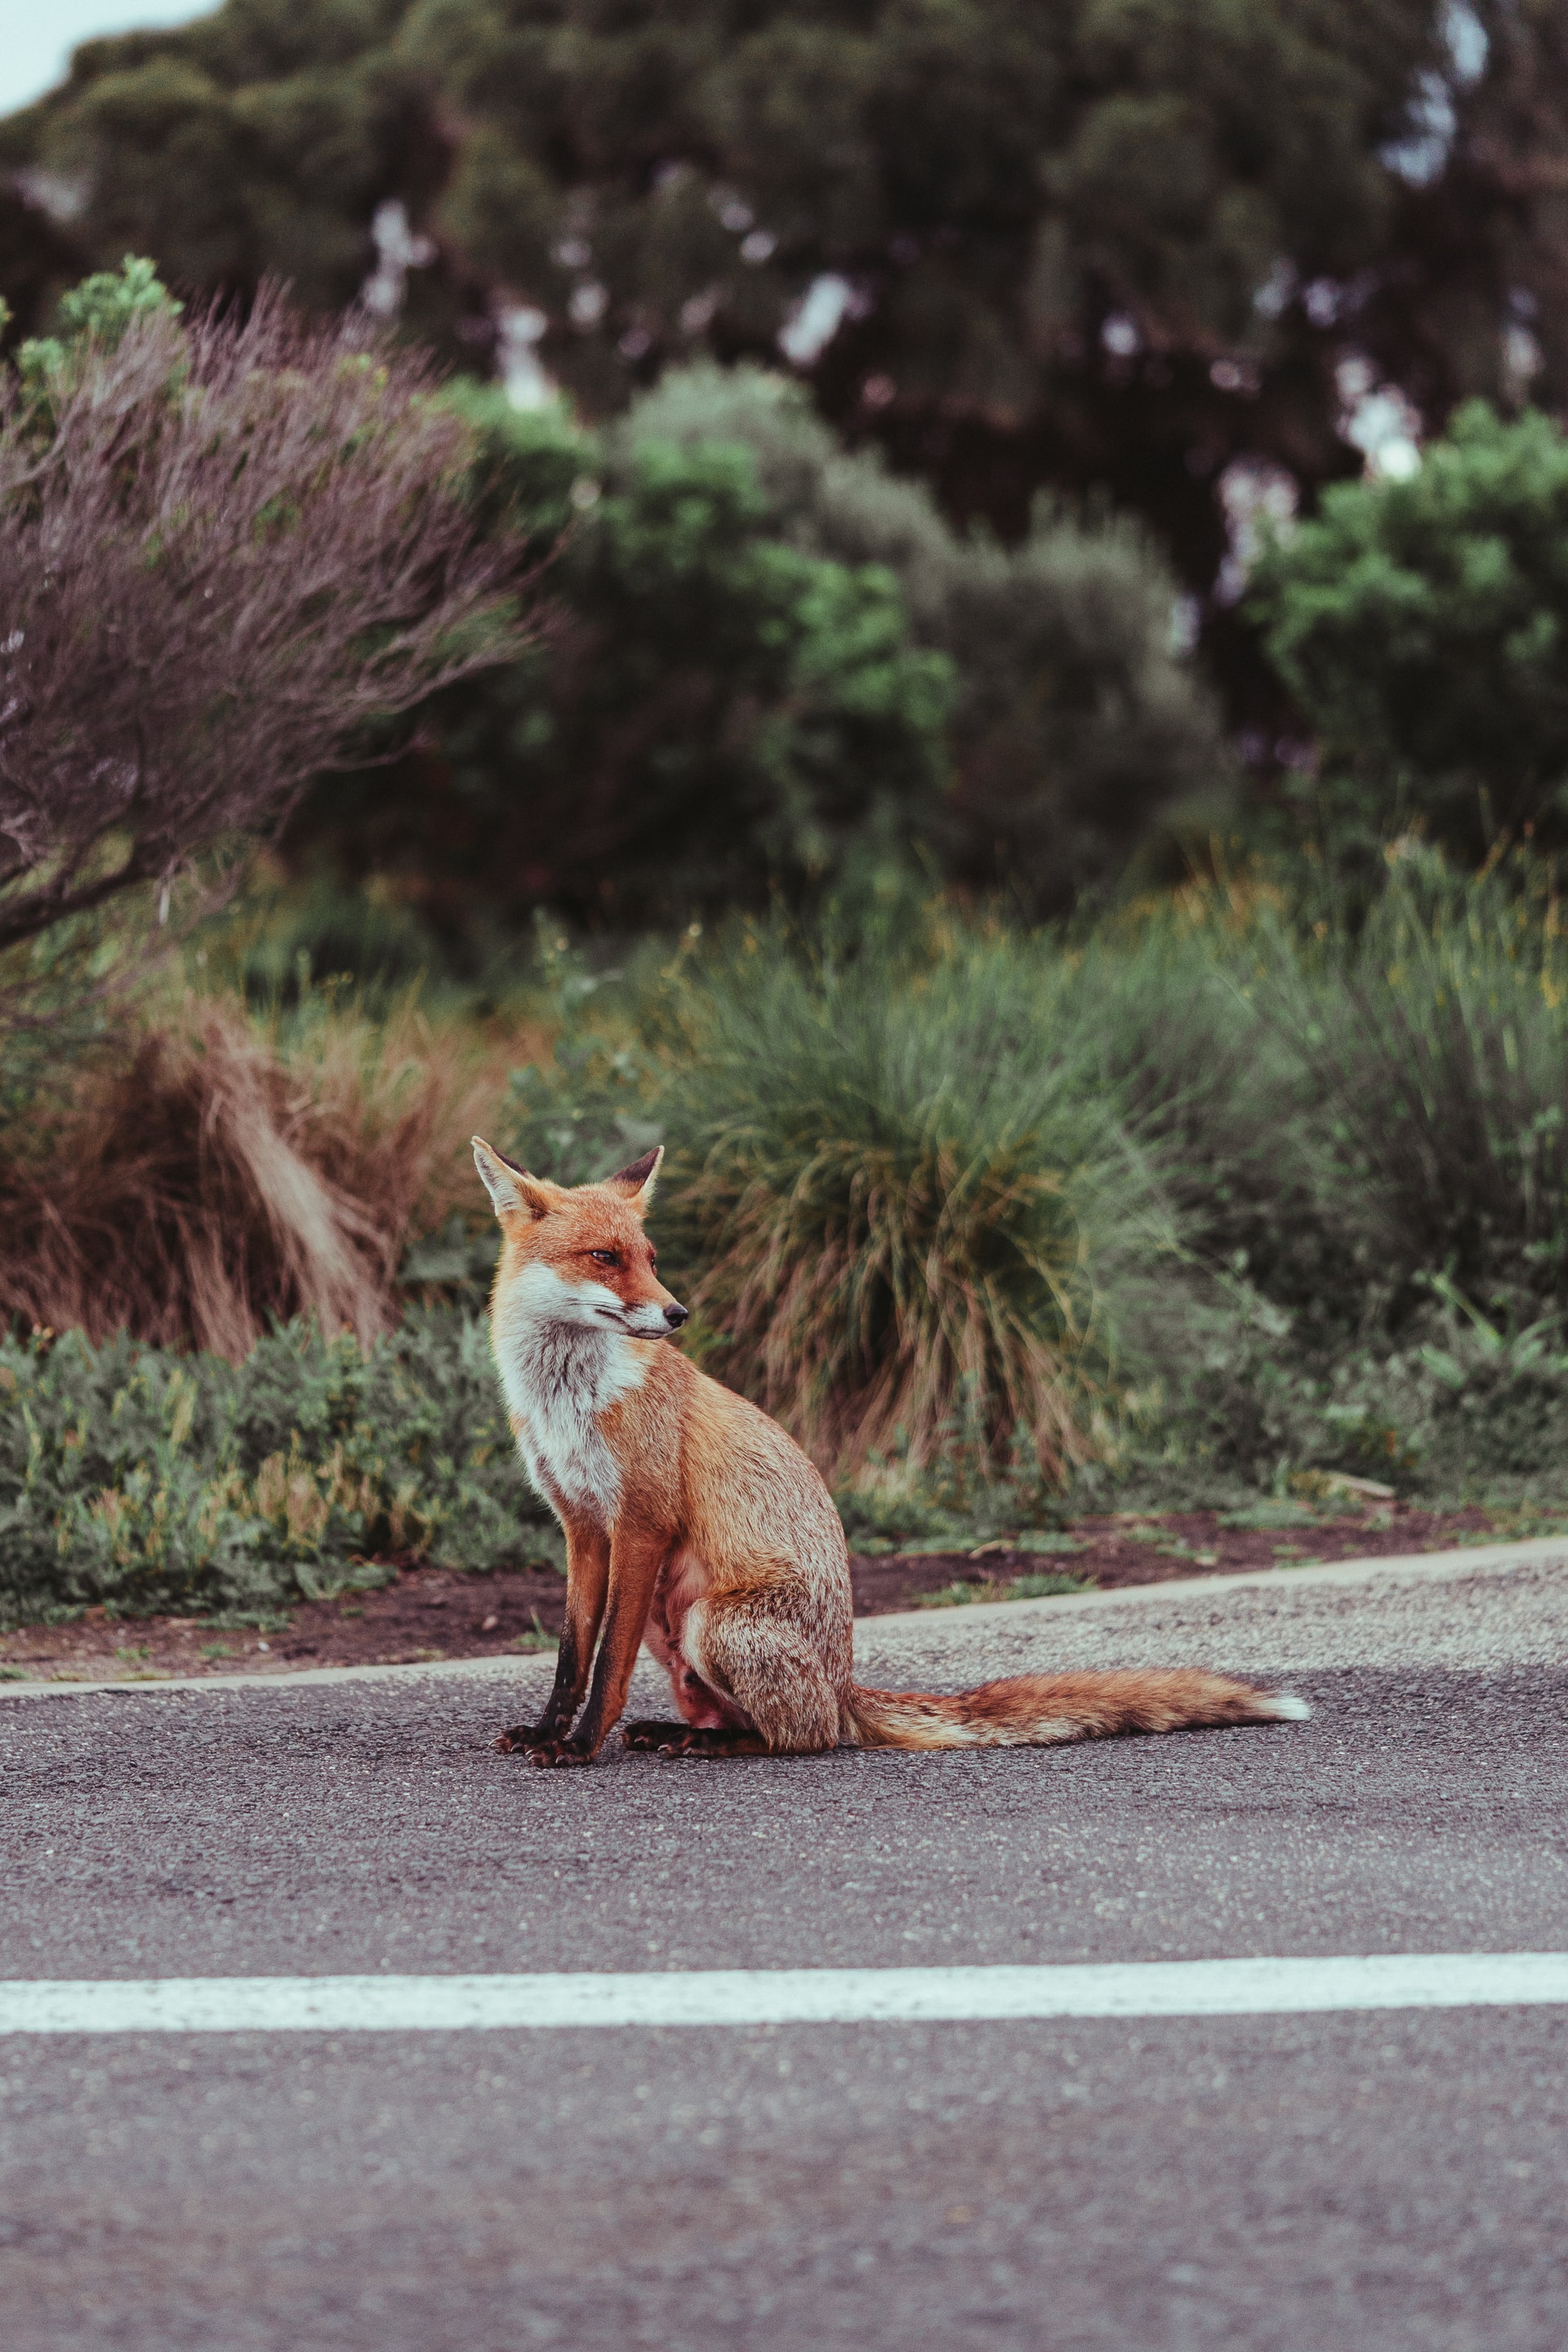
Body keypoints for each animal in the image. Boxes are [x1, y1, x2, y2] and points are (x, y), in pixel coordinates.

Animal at [472, 1138, 1307, 1768]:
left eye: (648, 1255)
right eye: (604, 1257)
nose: (678, 1313)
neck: (567, 1404)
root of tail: (845, 1687)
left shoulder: (642, 1521)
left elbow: (605, 1665)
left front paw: (580, 1747)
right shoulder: (584, 1527)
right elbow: (573, 1655)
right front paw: (549, 1732)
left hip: (712, 1623)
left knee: (801, 1738)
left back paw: (711, 1743)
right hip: (674, 1634)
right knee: (759, 1721)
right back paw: (675, 1731)